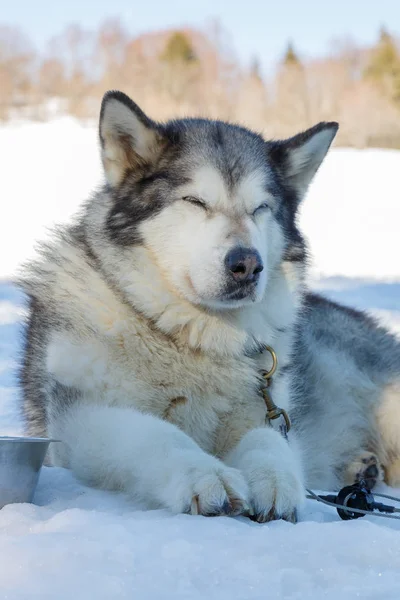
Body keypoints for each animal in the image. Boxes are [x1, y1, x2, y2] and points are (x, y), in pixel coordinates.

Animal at [18, 89, 400, 520]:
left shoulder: (266, 411)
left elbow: (268, 442)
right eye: (195, 201)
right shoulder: (81, 420)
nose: (247, 264)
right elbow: (158, 435)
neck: (189, 337)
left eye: (260, 209)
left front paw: (274, 478)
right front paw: (203, 475)